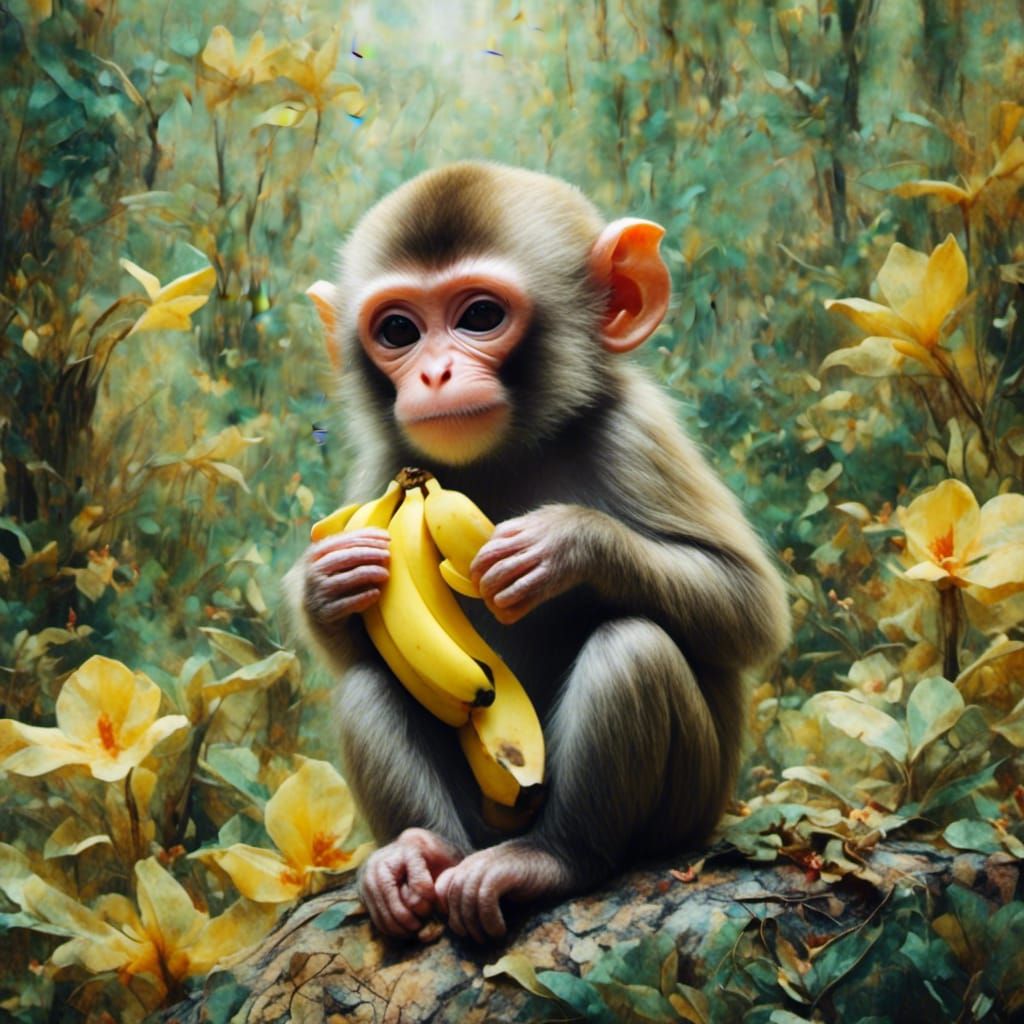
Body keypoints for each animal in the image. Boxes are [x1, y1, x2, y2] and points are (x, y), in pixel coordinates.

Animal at [286, 161, 791, 943]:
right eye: (398, 329)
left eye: (479, 317)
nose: (433, 375)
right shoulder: (386, 464)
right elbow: (353, 648)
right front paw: (331, 580)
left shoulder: (636, 431)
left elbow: (749, 610)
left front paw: (565, 546)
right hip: (478, 820)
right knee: (371, 682)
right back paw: (415, 857)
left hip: (690, 811)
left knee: (633, 649)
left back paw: (553, 860)